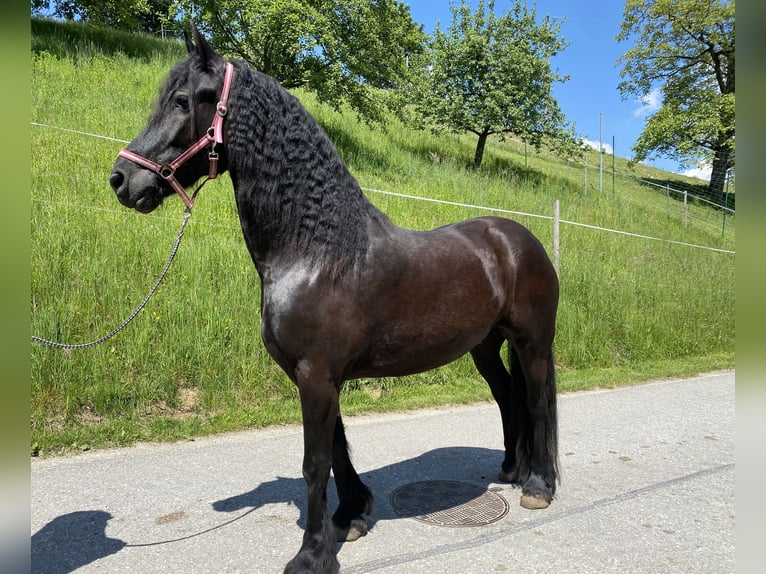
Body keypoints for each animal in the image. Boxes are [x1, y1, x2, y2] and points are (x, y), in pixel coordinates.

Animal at [109, 24, 560, 572]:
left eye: (181, 101)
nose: (121, 180)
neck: (315, 251)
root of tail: (518, 239)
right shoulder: (318, 375)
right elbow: (339, 449)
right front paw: (351, 516)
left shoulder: (317, 374)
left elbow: (314, 462)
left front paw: (312, 554)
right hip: (485, 347)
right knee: (507, 397)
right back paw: (511, 470)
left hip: (532, 343)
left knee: (535, 401)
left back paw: (538, 485)